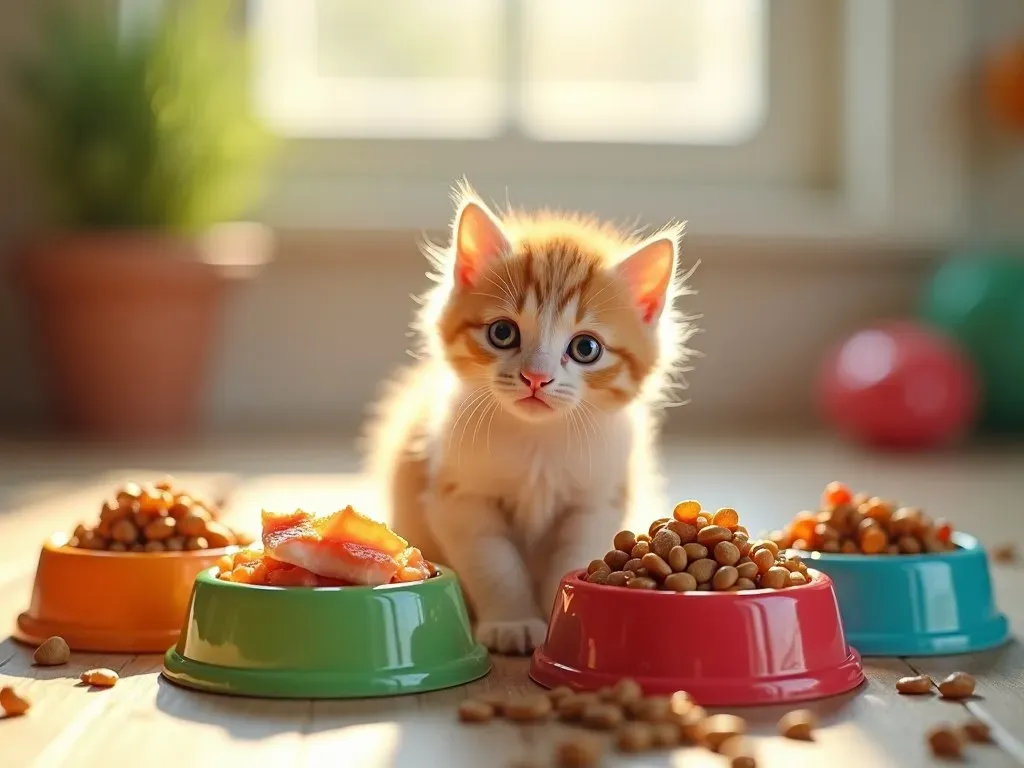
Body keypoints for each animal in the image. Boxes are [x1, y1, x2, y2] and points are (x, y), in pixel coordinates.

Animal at [364, 186, 692, 655]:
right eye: (503, 333)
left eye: (586, 348)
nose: (536, 377)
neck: (538, 441)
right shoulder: (460, 497)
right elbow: (495, 565)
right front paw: (513, 621)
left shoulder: (596, 501)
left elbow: (570, 557)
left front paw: (564, 613)